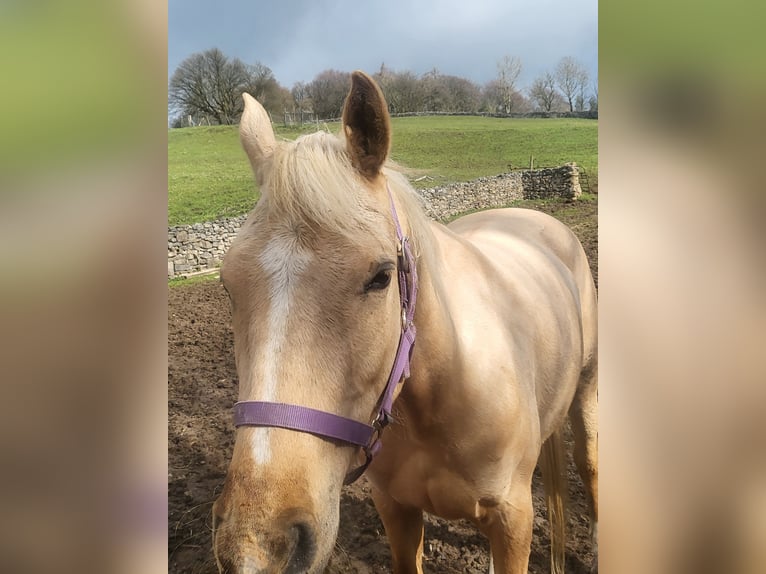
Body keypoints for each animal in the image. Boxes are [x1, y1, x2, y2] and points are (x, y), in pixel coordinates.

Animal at [212, 71, 598, 574]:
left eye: (380, 277)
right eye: (228, 284)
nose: (258, 545)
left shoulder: (513, 520)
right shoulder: (395, 508)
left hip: (587, 388)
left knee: (590, 465)